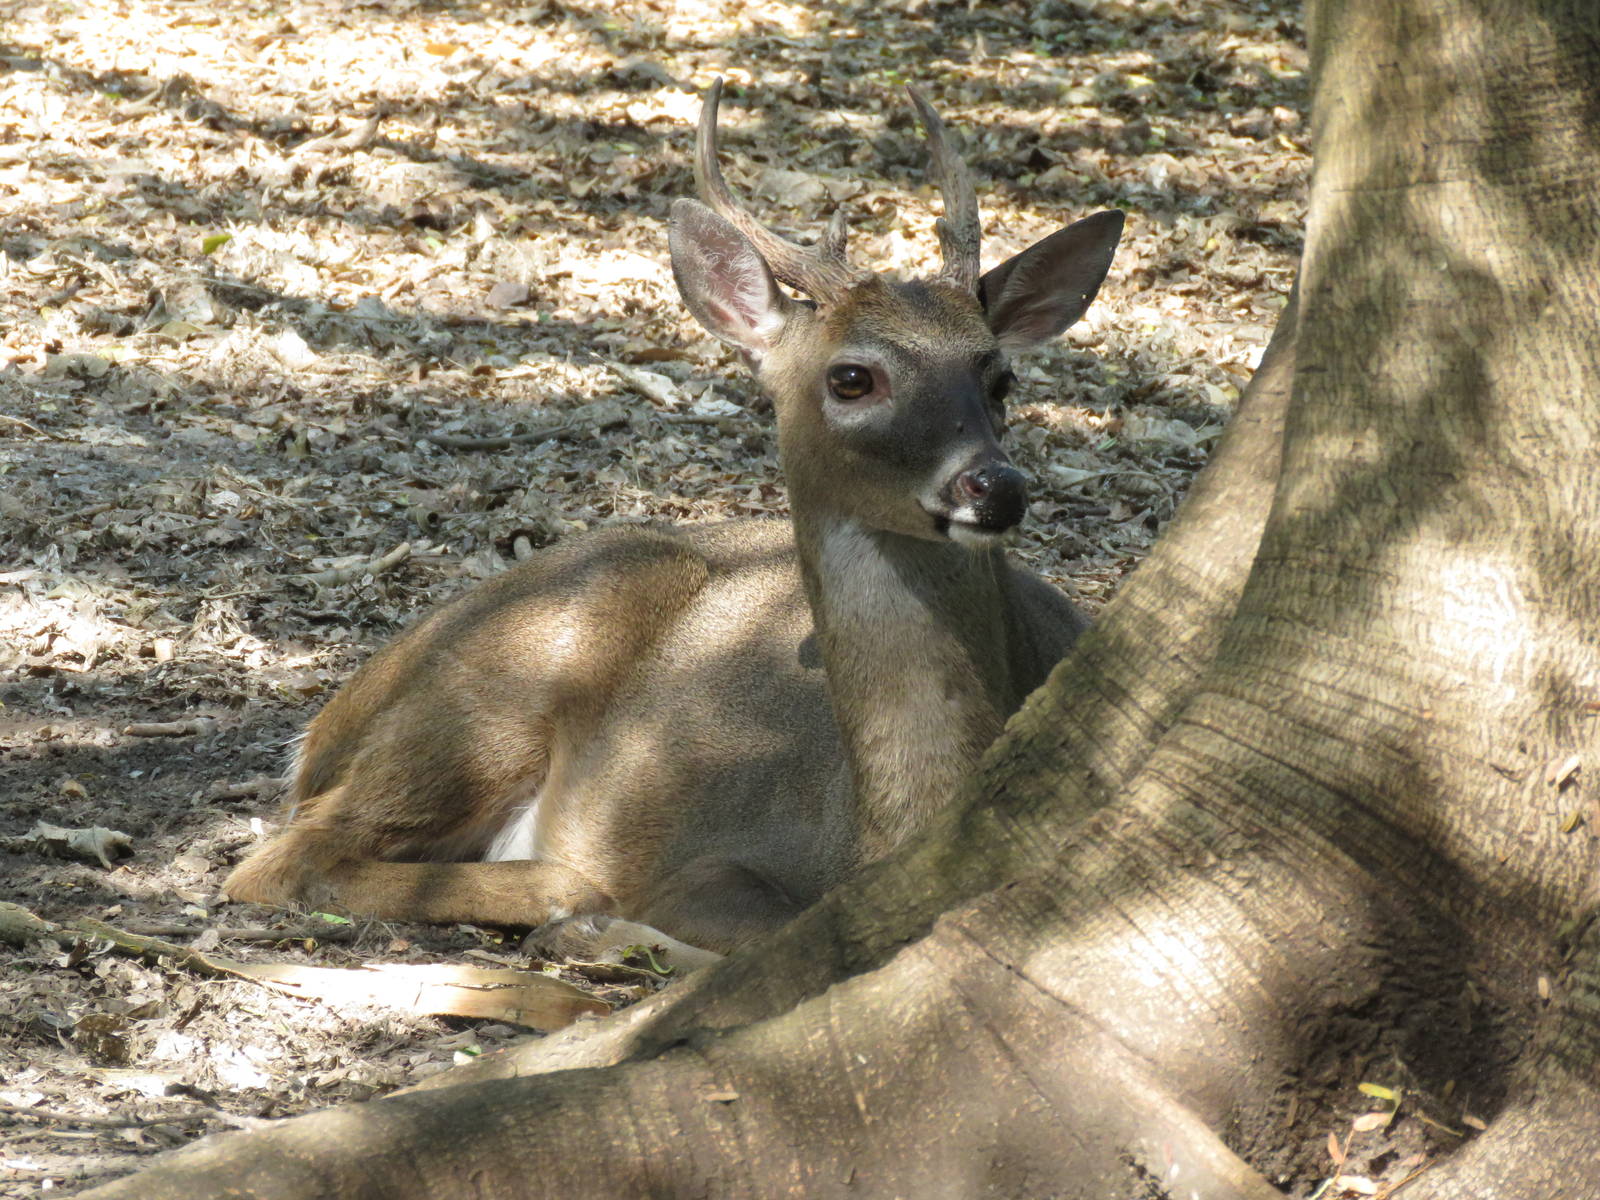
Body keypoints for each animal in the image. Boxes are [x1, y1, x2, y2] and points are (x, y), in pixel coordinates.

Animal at [222, 81, 1124, 971]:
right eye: (852, 377)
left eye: (999, 378)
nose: (995, 485)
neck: (871, 838)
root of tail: (328, 722)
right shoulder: (716, 857)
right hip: (493, 689)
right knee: (279, 860)